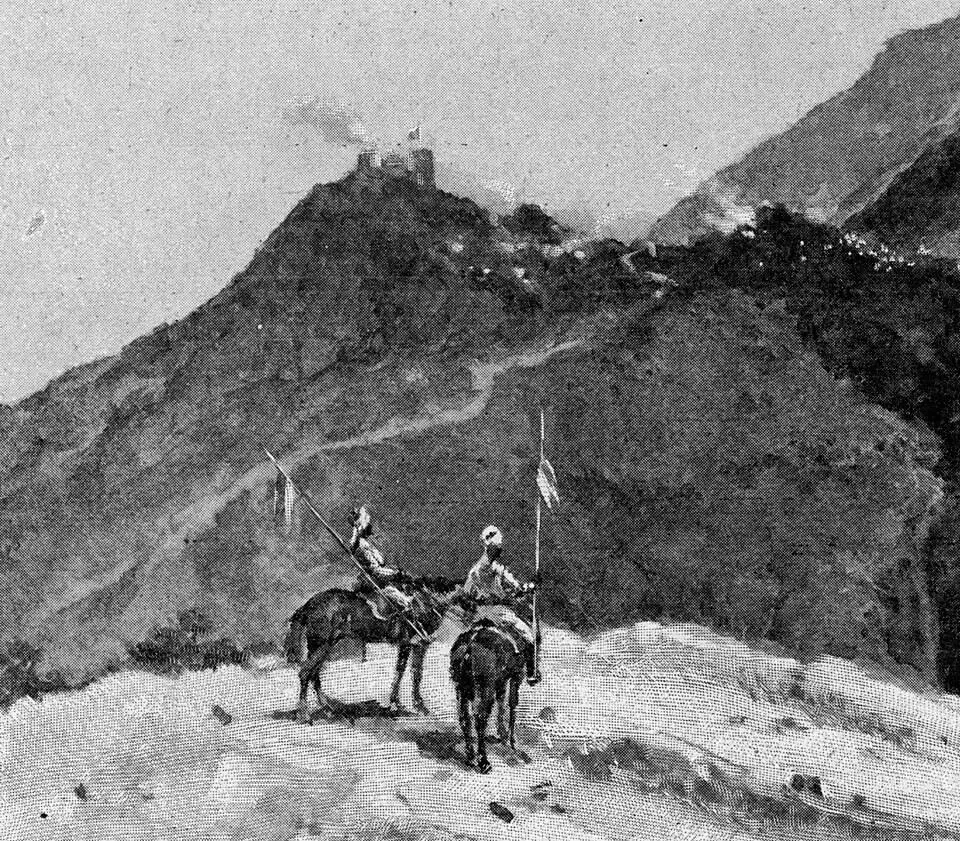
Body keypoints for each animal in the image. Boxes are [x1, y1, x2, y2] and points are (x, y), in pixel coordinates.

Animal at [285, 575, 464, 722]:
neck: (424, 602)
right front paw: (406, 705)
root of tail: (308, 605)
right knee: (305, 672)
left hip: (321, 646)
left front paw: (407, 704)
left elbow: (408, 672)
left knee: (314, 673)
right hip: (322, 645)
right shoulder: (412, 644)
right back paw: (304, 714)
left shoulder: (412, 645)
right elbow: (408, 672)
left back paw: (327, 708)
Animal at [449, 620, 526, 773]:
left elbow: (502, 704)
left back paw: (471, 757)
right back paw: (484, 761)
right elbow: (512, 706)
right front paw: (512, 741)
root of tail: (470, 645)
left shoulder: (502, 681)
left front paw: (503, 735)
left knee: (465, 718)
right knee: (480, 719)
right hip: (486, 689)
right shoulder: (516, 677)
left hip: (462, 688)